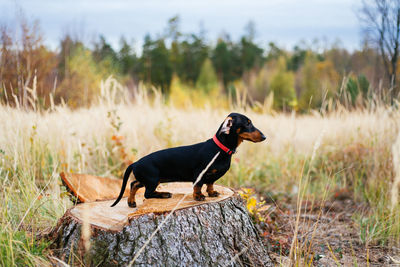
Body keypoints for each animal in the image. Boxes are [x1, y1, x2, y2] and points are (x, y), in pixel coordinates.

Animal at [110, 113, 266, 209]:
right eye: (248, 123)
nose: (264, 137)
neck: (220, 149)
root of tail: (135, 163)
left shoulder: (211, 176)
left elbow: (210, 184)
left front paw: (212, 193)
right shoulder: (199, 174)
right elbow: (198, 186)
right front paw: (198, 196)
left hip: (152, 179)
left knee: (134, 184)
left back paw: (131, 202)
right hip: (153, 179)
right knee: (146, 193)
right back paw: (164, 194)